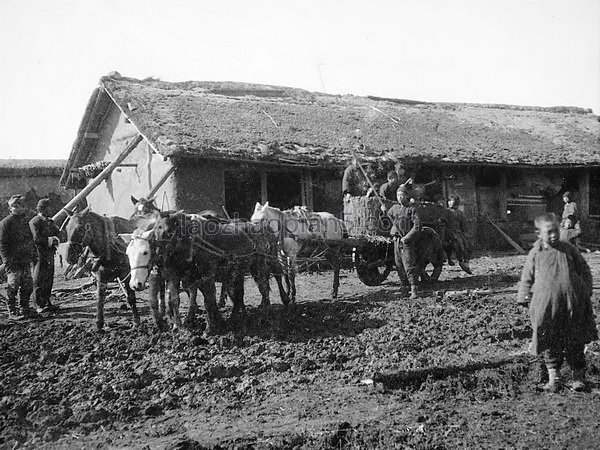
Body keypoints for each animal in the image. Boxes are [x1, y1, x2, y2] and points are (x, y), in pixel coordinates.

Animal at [152, 212, 288, 334]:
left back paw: (271, 309)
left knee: (268, 285)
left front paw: (210, 328)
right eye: (155, 233)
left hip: (262, 266)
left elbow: (208, 301)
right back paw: (237, 316)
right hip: (238, 274)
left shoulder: (206, 276)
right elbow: (194, 299)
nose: (158, 259)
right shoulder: (186, 278)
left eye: (169, 231)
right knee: (239, 295)